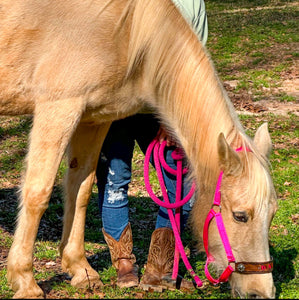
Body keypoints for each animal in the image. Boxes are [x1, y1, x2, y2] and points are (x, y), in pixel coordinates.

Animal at [0, 0, 278, 298]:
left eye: (272, 214)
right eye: (240, 216)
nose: (260, 292)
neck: (126, 31)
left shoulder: (93, 119)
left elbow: (80, 190)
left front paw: (80, 269)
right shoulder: (58, 108)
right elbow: (37, 194)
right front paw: (25, 281)